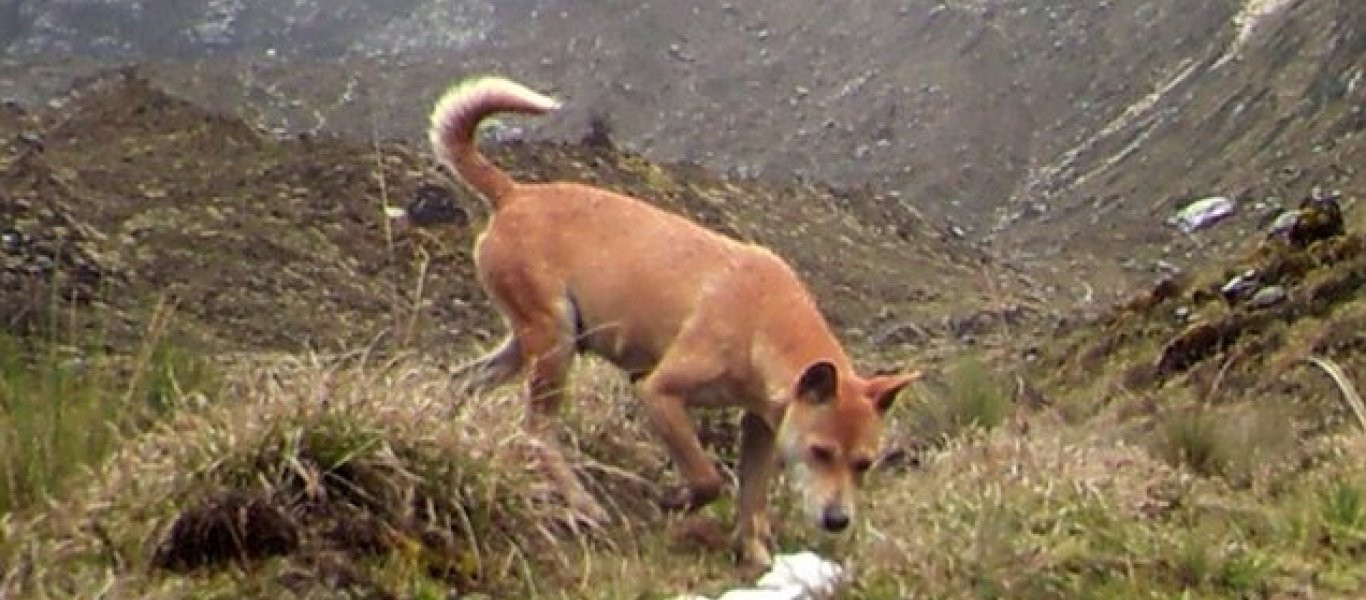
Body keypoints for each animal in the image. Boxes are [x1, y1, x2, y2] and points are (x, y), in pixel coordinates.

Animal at [404, 75, 917, 568]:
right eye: (821, 452)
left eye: (864, 464)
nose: (837, 521)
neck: (762, 320)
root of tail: (513, 194)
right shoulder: (658, 393)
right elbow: (708, 479)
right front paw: (676, 501)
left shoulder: (761, 428)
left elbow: (751, 501)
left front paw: (755, 556)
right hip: (555, 346)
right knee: (536, 433)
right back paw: (582, 503)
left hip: (531, 343)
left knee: (460, 382)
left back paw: (448, 436)